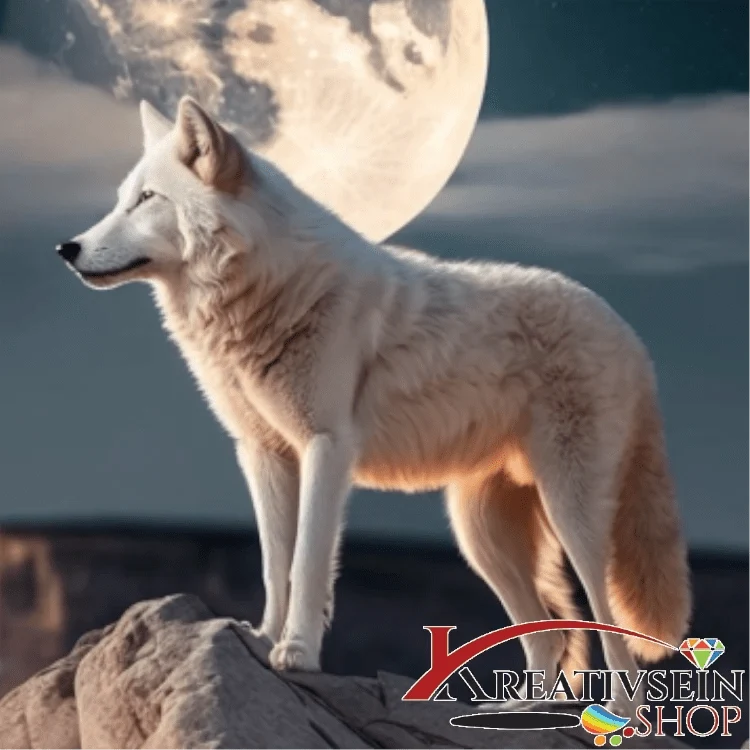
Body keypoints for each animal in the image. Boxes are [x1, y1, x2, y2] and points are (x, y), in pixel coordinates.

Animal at [57, 96, 691, 713]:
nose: (67, 248)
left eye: (147, 199)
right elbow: (274, 565)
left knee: (608, 626)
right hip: (480, 536)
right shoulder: (263, 453)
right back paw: (515, 713)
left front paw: (297, 653)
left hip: (570, 515)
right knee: (551, 635)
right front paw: (262, 638)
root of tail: (631, 336)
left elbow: (308, 562)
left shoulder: (325, 448)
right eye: (121, 199)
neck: (264, 291)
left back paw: (619, 717)